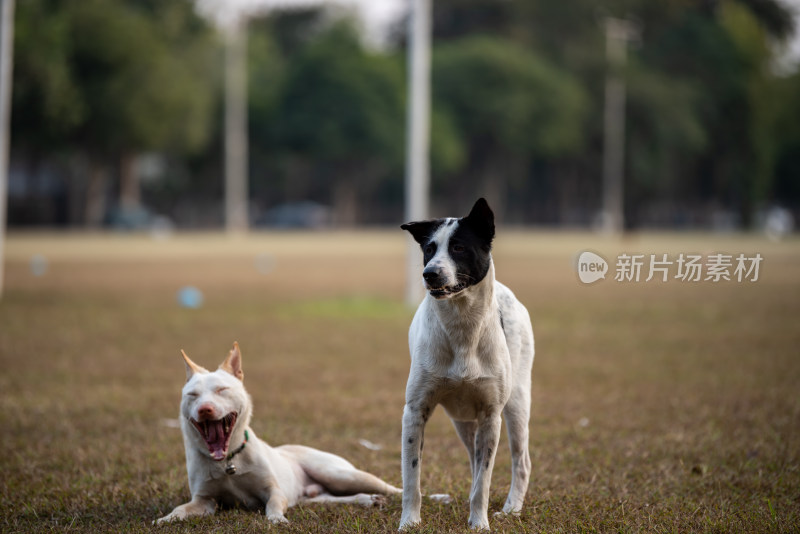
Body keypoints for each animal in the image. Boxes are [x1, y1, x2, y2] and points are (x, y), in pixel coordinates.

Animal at [157, 346, 404, 524]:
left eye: (222, 390)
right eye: (192, 395)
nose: (204, 409)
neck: (228, 461)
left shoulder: (274, 491)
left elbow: (273, 504)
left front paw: (276, 520)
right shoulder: (205, 500)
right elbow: (182, 508)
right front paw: (167, 518)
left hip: (340, 475)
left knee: (389, 487)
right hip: (312, 498)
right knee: (337, 499)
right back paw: (368, 500)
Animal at [398, 198, 536, 532]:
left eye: (459, 247)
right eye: (429, 248)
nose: (429, 274)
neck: (462, 328)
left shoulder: (491, 415)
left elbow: (484, 482)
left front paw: (479, 523)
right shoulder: (415, 412)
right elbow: (412, 479)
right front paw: (409, 522)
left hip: (516, 404)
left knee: (521, 461)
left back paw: (511, 509)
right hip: (461, 419)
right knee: (474, 460)